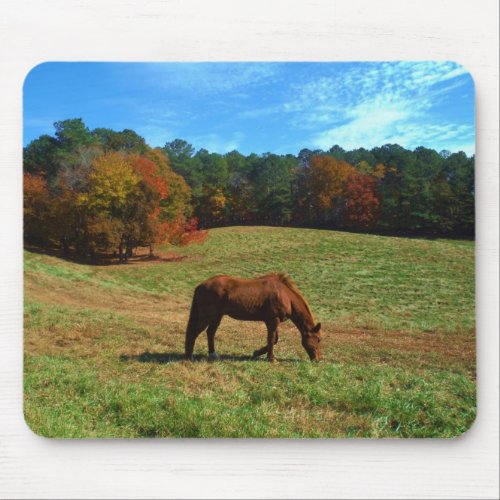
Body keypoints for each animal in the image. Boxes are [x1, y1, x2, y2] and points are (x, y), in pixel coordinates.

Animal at [186, 272, 322, 362]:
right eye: (318, 339)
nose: (317, 360)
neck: (285, 295)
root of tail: (200, 286)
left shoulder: (273, 321)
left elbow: (274, 339)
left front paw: (257, 353)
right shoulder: (272, 320)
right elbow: (272, 339)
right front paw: (271, 358)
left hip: (217, 316)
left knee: (210, 333)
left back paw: (213, 354)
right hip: (207, 316)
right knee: (194, 332)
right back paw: (189, 356)